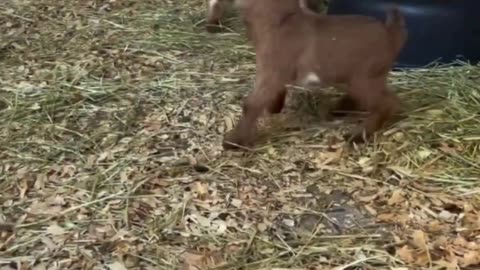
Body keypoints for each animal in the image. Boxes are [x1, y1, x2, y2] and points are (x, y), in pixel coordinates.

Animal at [222, 0, 408, 150]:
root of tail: (391, 33)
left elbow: (251, 104)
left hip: (365, 78)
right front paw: (275, 107)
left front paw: (232, 141)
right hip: (364, 77)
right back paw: (338, 109)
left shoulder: (271, 71)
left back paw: (358, 134)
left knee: (390, 103)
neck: (284, 21)